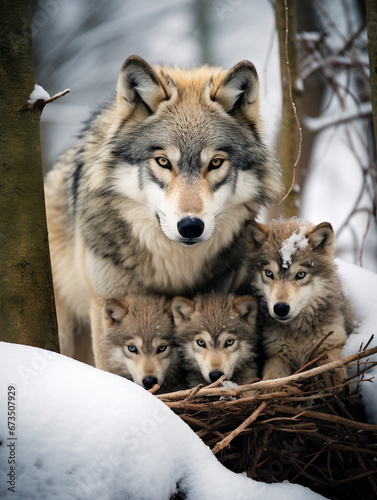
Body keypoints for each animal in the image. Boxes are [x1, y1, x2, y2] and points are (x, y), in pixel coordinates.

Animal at [245, 217, 354, 384]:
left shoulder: (334, 342)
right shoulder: (277, 354)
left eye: (301, 275)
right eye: (269, 273)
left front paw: (334, 377)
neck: (298, 329)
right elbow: (272, 376)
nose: (280, 308)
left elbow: (330, 360)